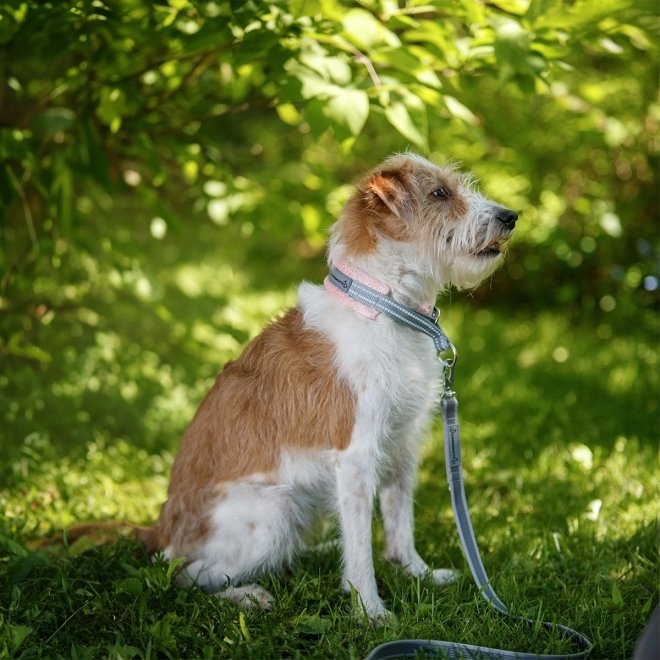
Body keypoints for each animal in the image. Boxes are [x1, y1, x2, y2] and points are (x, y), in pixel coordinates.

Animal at [137, 152, 520, 620]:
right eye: (439, 193)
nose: (511, 216)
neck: (384, 304)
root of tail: (161, 531)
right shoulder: (356, 457)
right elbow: (361, 549)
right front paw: (370, 611)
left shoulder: (402, 446)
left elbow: (399, 521)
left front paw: (417, 572)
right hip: (277, 510)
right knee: (185, 574)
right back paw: (247, 595)